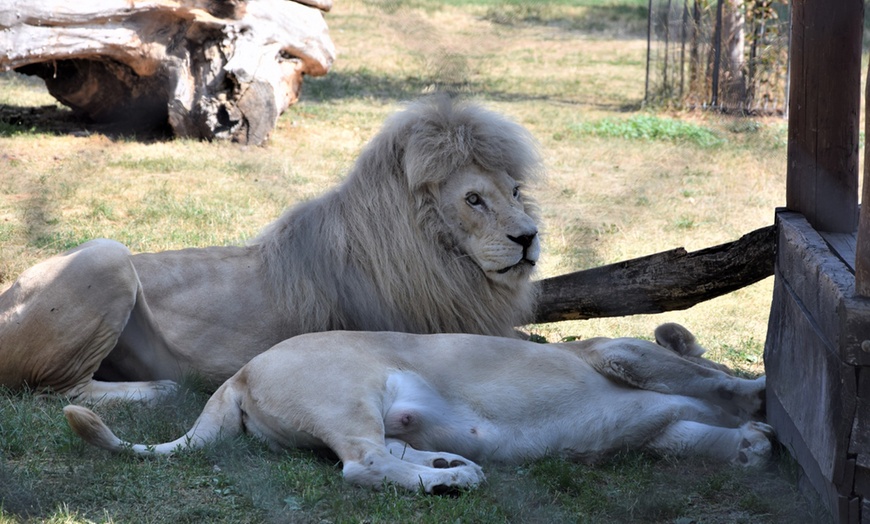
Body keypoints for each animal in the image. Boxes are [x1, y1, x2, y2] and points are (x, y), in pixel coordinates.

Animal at [1, 97, 544, 402]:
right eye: (473, 199)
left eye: (516, 191)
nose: (528, 237)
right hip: (106, 256)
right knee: (61, 391)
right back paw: (162, 390)